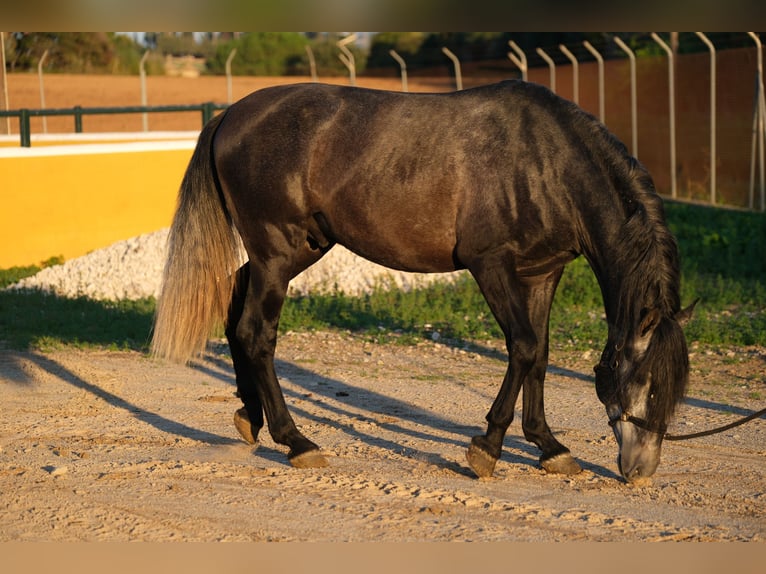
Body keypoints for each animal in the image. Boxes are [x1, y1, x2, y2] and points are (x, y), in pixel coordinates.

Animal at [153, 81, 700, 484]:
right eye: (647, 384)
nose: (641, 471)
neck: (547, 163)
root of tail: (230, 115)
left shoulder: (543, 272)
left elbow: (540, 355)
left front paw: (549, 446)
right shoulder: (491, 265)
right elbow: (522, 347)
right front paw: (487, 448)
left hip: (294, 251)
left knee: (234, 312)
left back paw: (252, 416)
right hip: (276, 252)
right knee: (256, 334)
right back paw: (297, 442)